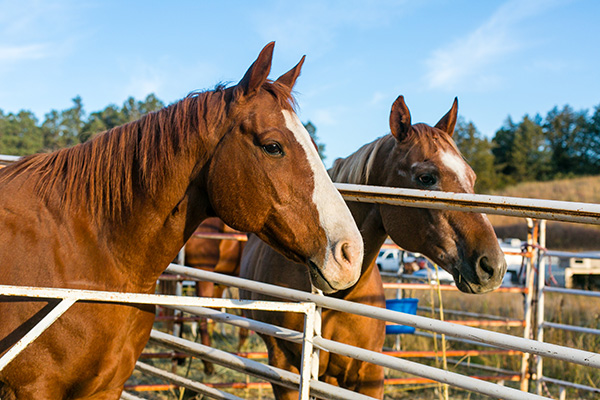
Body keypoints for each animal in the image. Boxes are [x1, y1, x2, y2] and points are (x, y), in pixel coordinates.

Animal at [239, 95, 506, 398]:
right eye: (426, 177)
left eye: (471, 178)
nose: (494, 266)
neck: (337, 297)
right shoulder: (285, 365)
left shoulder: (369, 373)